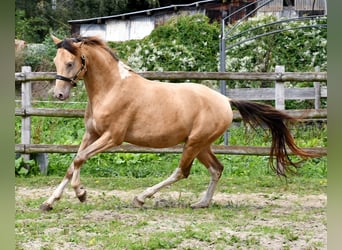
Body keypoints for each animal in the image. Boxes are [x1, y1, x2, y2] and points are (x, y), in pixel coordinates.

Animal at [39, 35, 318, 211]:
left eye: (71, 62)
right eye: (56, 62)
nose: (59, 95)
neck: (111, 88)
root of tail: (225, 100)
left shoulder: (112, 137)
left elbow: (79, 159)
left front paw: (81, 193)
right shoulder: (91, 134)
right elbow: (72, 164)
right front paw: (49, 202)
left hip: (193, 143)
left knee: (182, 172)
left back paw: (141, 198)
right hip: (202, 145)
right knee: (217, 169)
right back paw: (201, 203)